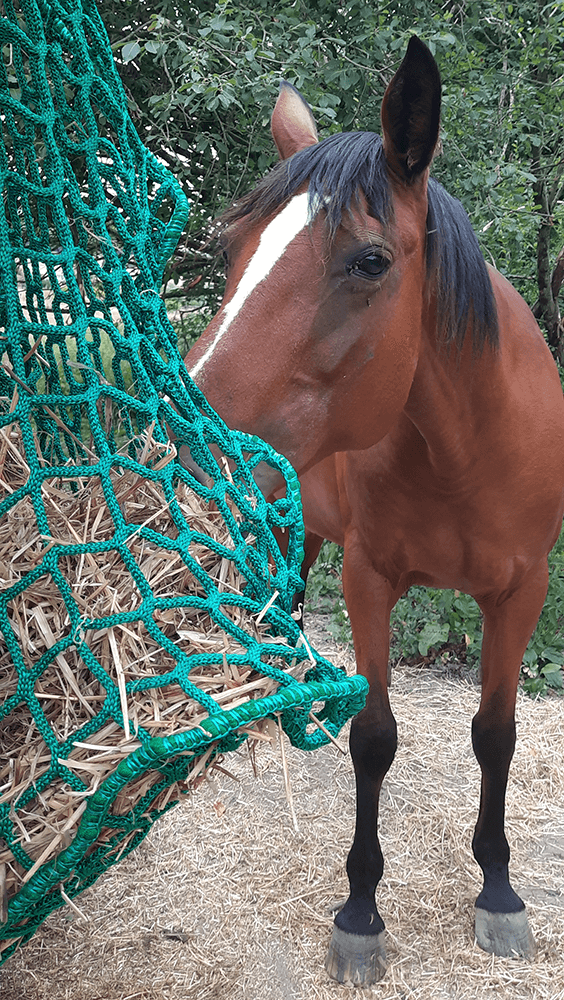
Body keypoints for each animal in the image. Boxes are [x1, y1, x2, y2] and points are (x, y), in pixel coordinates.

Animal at [185, 37, 564, 984]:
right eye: (234, 248)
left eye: (369, 261)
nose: (181, 422)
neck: (468, 450)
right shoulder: (370, 581)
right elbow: (374, 738)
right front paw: (360, 909)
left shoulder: (521, 594)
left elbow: (496, 734)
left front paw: (498, 890)